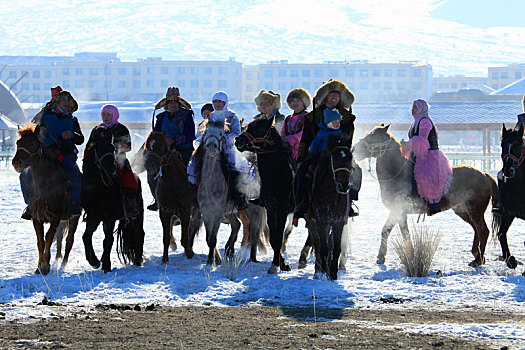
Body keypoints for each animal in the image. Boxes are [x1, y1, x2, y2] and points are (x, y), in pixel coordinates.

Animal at [11, 124, 80, 274]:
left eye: (32, 143)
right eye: (18, 143)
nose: (16, 163)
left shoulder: (54, 217)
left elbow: (48, 238)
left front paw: (45, 266)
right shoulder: (36, 218)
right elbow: (40, 241)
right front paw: (38, 266)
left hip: (73, 217)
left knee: (69, 240)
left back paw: (63, 264)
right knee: (59, 238)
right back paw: (58, 258)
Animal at [81, 135, 144, 272]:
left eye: (112, 148)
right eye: (99, 149)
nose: (112, 169)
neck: (100, 190)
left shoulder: (109, 218)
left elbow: (108, 240)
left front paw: (106, 266)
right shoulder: (94, 217)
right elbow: (87, 236)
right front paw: (94, 261)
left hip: (137, 216)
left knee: (140, 233)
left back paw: (137, 261)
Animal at [143, 131, 201, 262]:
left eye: (160, 145)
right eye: (147, 146)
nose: (150, 166)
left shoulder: (185, 212)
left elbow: (185, 238)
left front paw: (189, 254)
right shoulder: (164, 212)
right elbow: (166, 237)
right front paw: (165, 259)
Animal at [234, 115, 294, 274]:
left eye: (260, 128)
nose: (238, 140)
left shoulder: (281, 211)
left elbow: (278, 237)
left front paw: (276, 264)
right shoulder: (270, 210)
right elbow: (273, 238)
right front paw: (280, 263)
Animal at [352, 124, 500, 266]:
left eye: (373, 136)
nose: (354, 149)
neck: (397, 173)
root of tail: (484, 175)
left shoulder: (398, 211)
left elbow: (397, 232)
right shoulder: (398, 212)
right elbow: (394, 232)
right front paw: (383, 256)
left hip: (475, 211)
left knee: (483, 231)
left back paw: (478, 260)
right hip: (463, 210)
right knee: (476, 229)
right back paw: (476, 254)